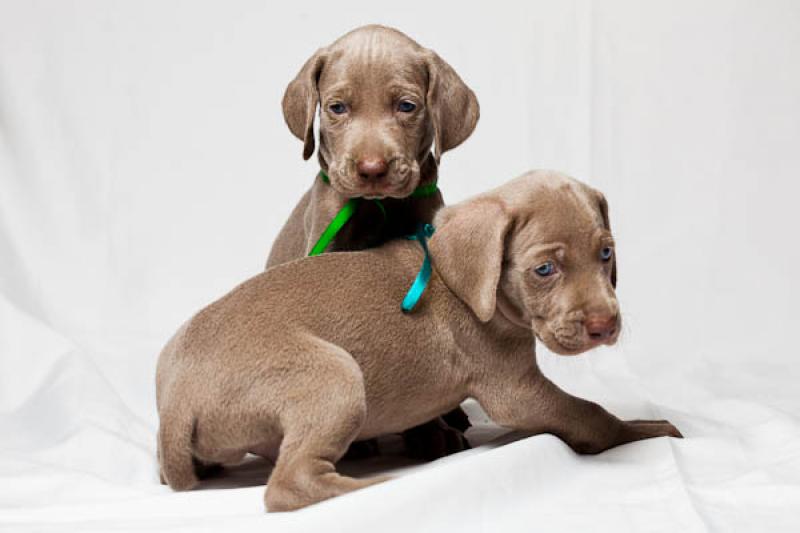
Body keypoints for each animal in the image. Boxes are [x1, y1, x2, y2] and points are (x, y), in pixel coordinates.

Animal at [159, 170, 684, 512]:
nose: (605, 325)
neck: (460, 278)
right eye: (544, 270)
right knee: (288, 486)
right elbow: (588, 413)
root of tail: (177, 403)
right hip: (335, 376)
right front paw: (642, 429)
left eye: (606, 254)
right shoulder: (514, 390)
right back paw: (376, 486)